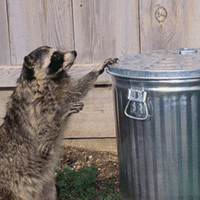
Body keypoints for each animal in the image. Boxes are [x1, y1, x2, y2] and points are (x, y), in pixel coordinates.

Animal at [0, 46, 117, 199]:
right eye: (55, 56)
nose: (74, 52)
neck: (50, 79)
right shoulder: (36, 110)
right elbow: (43, 142)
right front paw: (61, 114)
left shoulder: (61, 91)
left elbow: (76, 92)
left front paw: (96, 70)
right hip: (12, 189)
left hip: (45, 185)